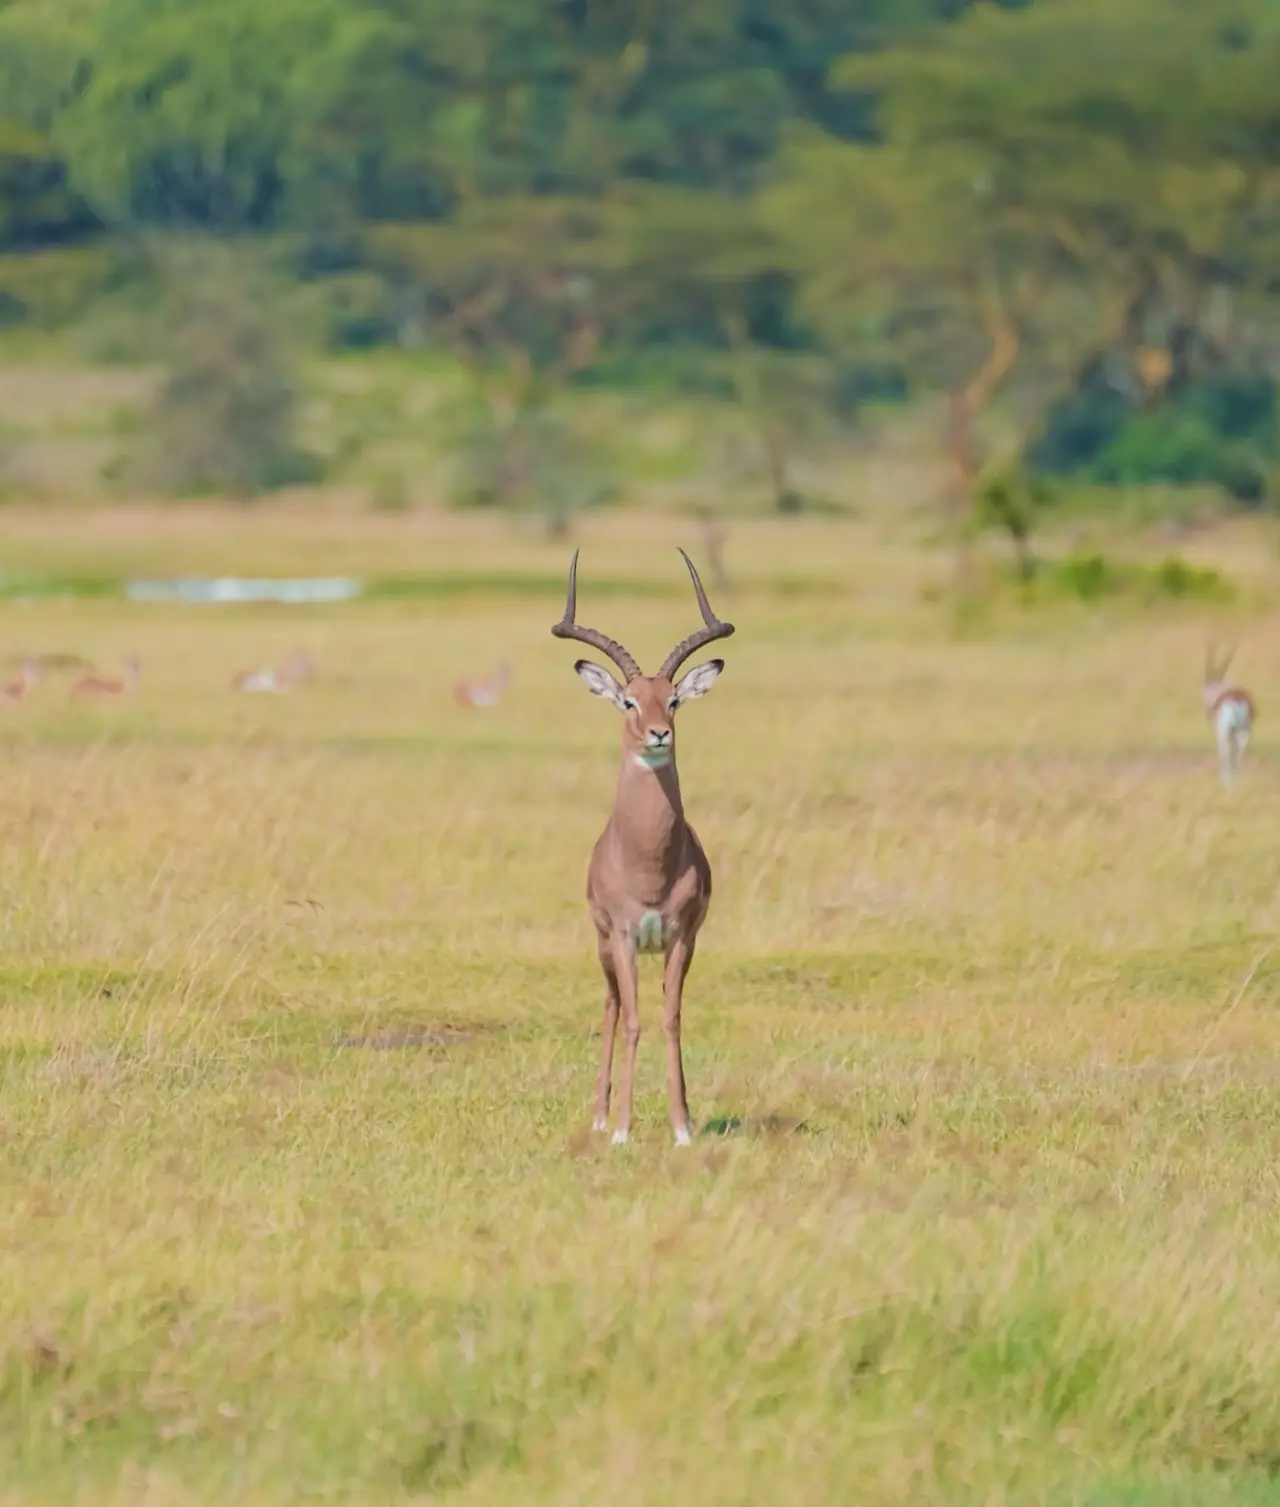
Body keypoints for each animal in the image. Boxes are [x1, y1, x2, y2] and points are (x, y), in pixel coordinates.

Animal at [552, 548, 734, 1146]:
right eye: (629, 701)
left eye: (673, 699)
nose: (658, 733)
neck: (649, 864)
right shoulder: (627, 937)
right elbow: (632, 1022)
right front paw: (622, 1129)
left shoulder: (681, 938)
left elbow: (670, 1019)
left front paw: (681, 1126)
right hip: (604, 947)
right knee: (611, 1007)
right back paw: (600, 1114)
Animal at [1204, 643, 1255, 787]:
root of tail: (1235, 700)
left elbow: (1222, 752)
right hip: (1243, 731)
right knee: (1240, 753)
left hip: (1226, 731)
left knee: (1226, 751)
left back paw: (1227, 782)